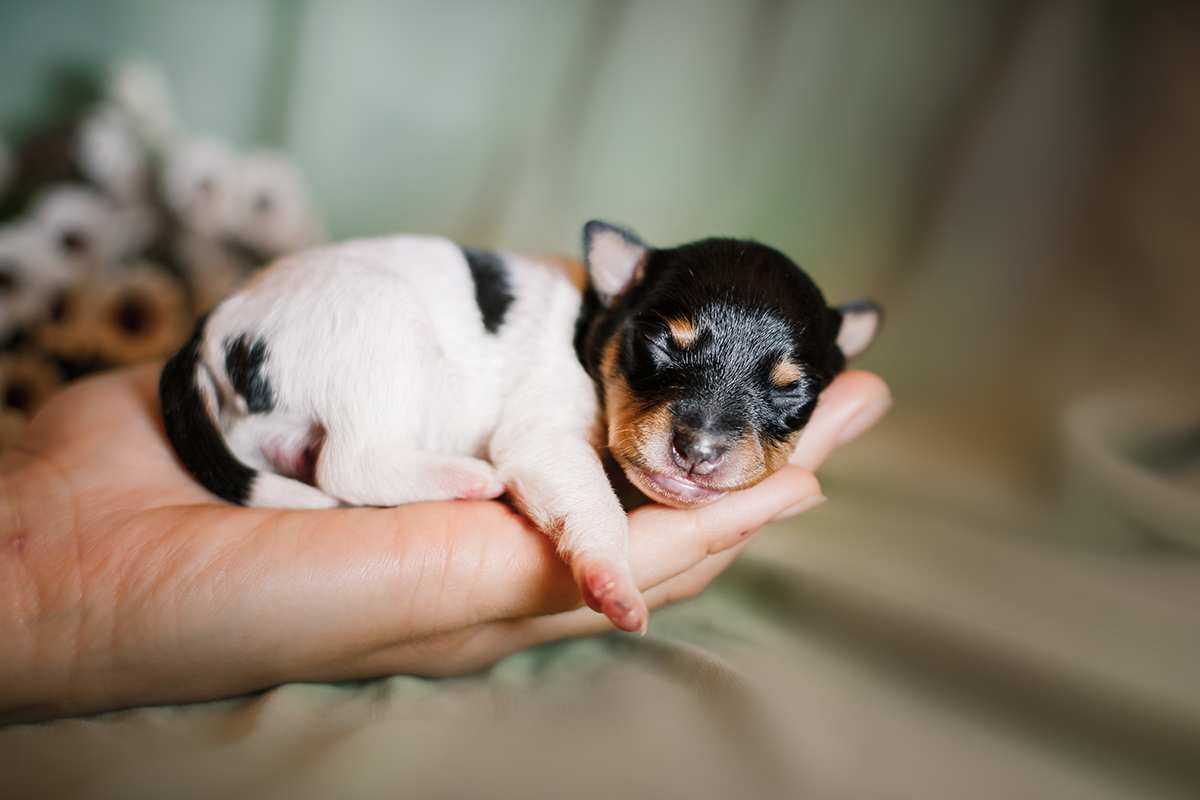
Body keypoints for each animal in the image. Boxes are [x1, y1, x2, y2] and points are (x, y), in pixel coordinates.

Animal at [159, 221, 883, 633]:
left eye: (793, 391)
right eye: (661, 346)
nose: (698, 450)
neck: (593, 326)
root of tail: (215, 326)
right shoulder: (543, 436)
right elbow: (593, 502)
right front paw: (611, 578)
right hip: (380, 328)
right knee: (351, 464)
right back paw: (465, 476)